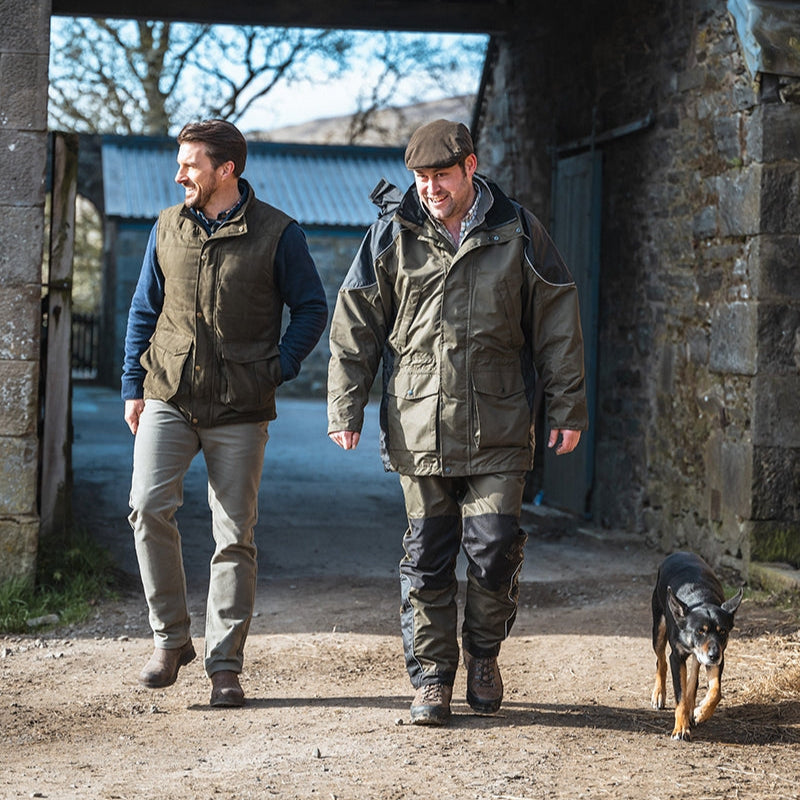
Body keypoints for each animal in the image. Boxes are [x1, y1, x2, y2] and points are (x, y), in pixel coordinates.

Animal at [648, 552, 744, 740]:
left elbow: (715, 691)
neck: (700, 599)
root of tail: (679, 552)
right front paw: (681, 728)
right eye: (700, 631)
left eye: (723, 631)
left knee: (693, 676)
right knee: (660, 661)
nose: (714, 655)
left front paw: (700, 712)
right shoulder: (677, 657)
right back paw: (659, 694)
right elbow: (680, 696)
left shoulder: (718, 658)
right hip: (659, 629)